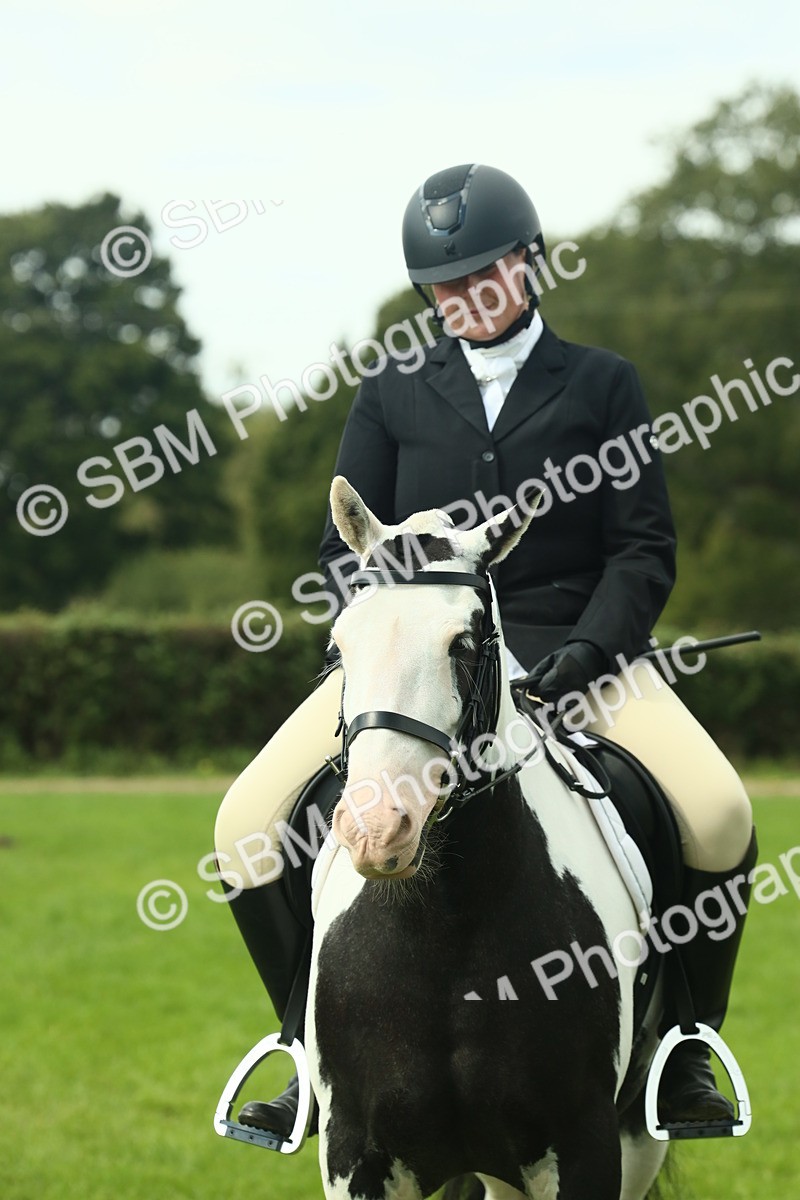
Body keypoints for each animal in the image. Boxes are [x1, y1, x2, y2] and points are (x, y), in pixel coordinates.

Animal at [303, 475, 669, 1200]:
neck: (444, 919)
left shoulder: (586, 1146)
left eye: (466, 644)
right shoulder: (355, 1150)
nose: (378, 830)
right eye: (339, 648)